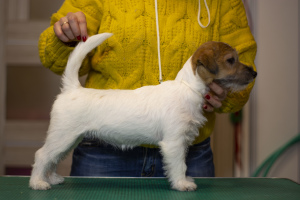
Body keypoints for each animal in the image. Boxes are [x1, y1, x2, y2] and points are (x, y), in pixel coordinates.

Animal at [29, 33, 256, 192]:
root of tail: (72, 88)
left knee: (53, 158)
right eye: (231, 60)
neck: (188, 88)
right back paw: (37, 182)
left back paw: (51, 178)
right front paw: (181, 184)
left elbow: (181, 164)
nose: (254, 72)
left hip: (69, 139)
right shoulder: (174, 142)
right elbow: (179, 165)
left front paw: (183, 181)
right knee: (42, 155)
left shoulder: (182, 141)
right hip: (63, 136)